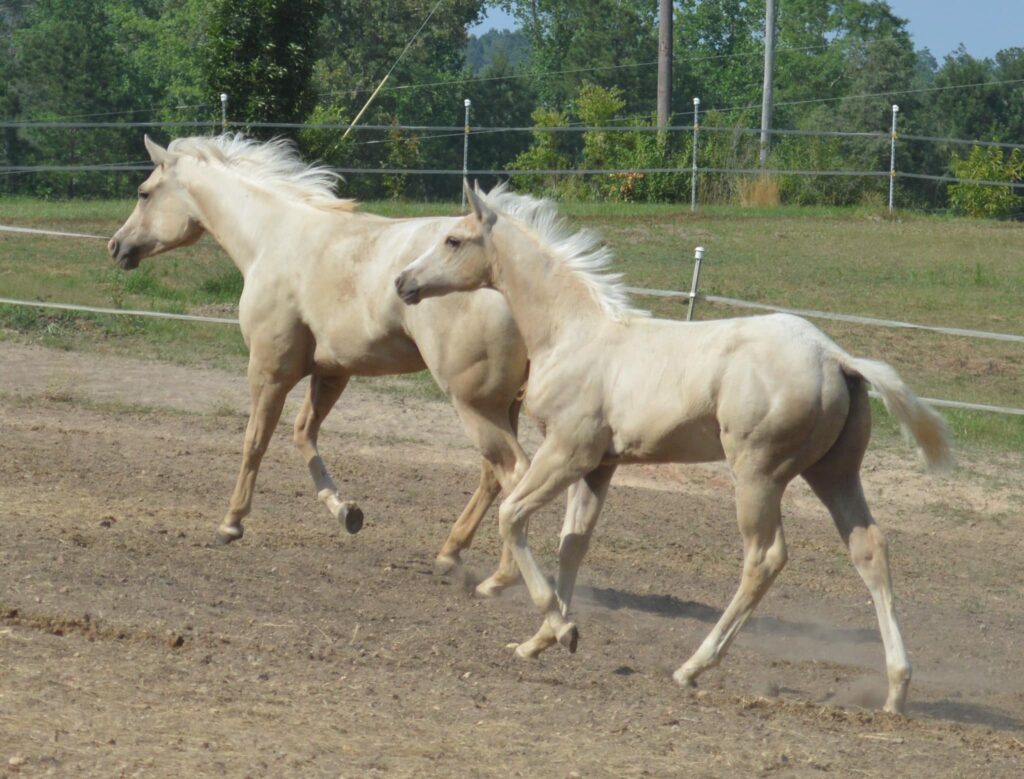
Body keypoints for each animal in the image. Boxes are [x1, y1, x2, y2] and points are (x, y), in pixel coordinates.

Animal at [108, 134, 532, 581]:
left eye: (144, 192)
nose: (116, 246)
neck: (273, 237)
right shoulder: (332, 372)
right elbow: (303, 434)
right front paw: (346, 512)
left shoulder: (269, 369)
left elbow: (254, 441)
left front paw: (231, 523)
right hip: (501, 405)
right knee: (494, 475)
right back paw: (451, 552)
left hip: (474, 403)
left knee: (514, 473)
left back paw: (504, 575)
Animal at [395, 181, 954, 712]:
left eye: (453, 239)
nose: (403, 282)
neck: (573, 334)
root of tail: (834, 356)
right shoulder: (600, 466)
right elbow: (573, 543)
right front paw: (542, 640)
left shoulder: (568, 451)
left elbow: (512, 515)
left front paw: (557, 624)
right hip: (834, 473)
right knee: (870, 549)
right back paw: (896, 691)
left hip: (759, 473)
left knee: (765, 558)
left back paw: (693, 666)